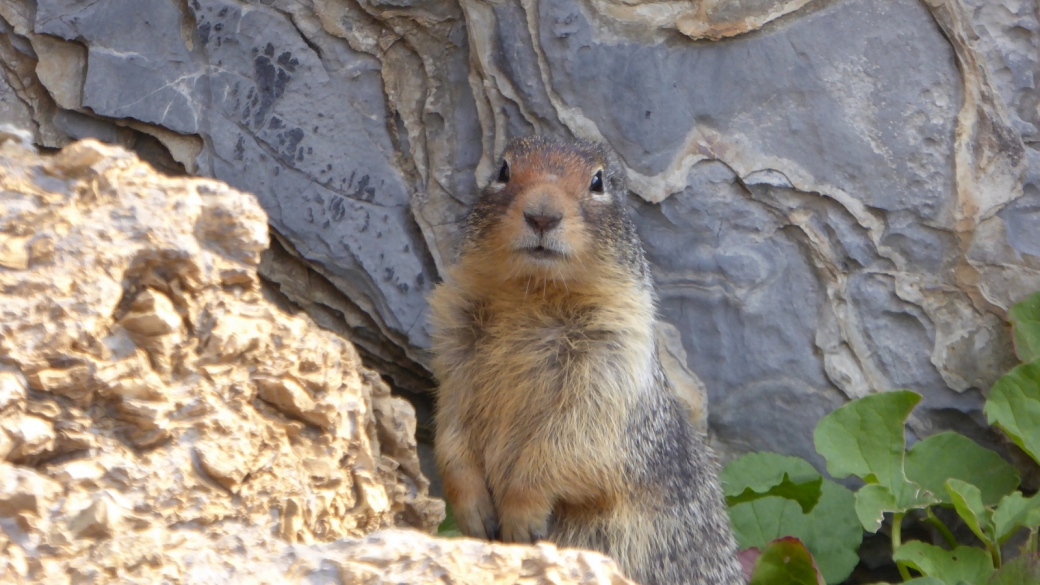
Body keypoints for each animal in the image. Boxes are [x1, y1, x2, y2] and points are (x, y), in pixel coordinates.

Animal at [426, 137, 744, 582]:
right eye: (503, 170)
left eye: (598, 181)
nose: (542, 215)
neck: (534, 293)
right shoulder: (454, 342)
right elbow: (451, 424)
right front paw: (473, 512)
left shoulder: (613, 361)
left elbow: (574, 439)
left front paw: (521, 518)